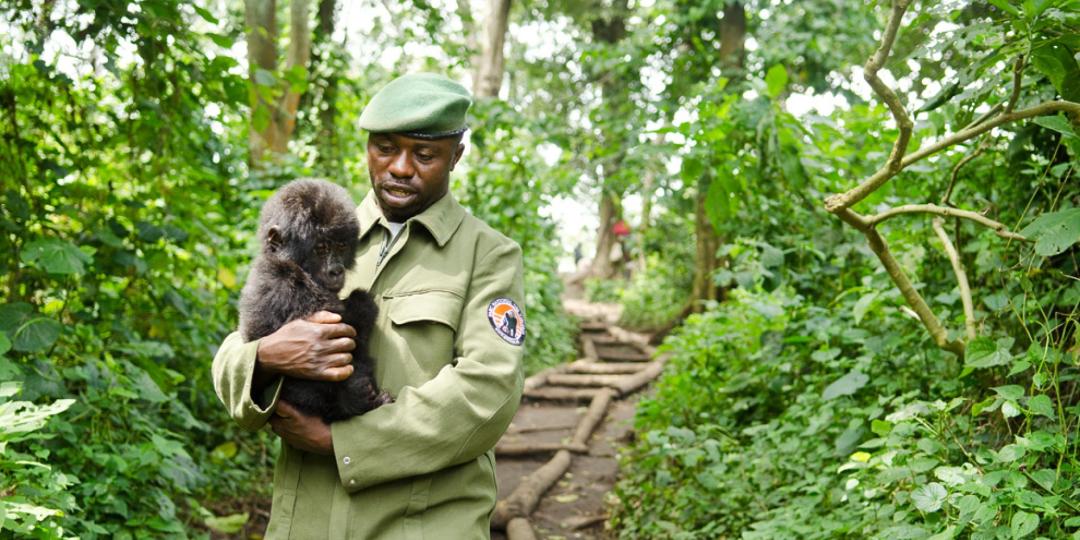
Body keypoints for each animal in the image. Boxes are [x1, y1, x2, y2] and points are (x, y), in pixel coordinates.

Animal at [238, 177, 390, 421]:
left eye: (341, 246)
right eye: (321, 248)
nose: (336, 271)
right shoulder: (288, 285)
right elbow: (349, 324)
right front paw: (362, 302)